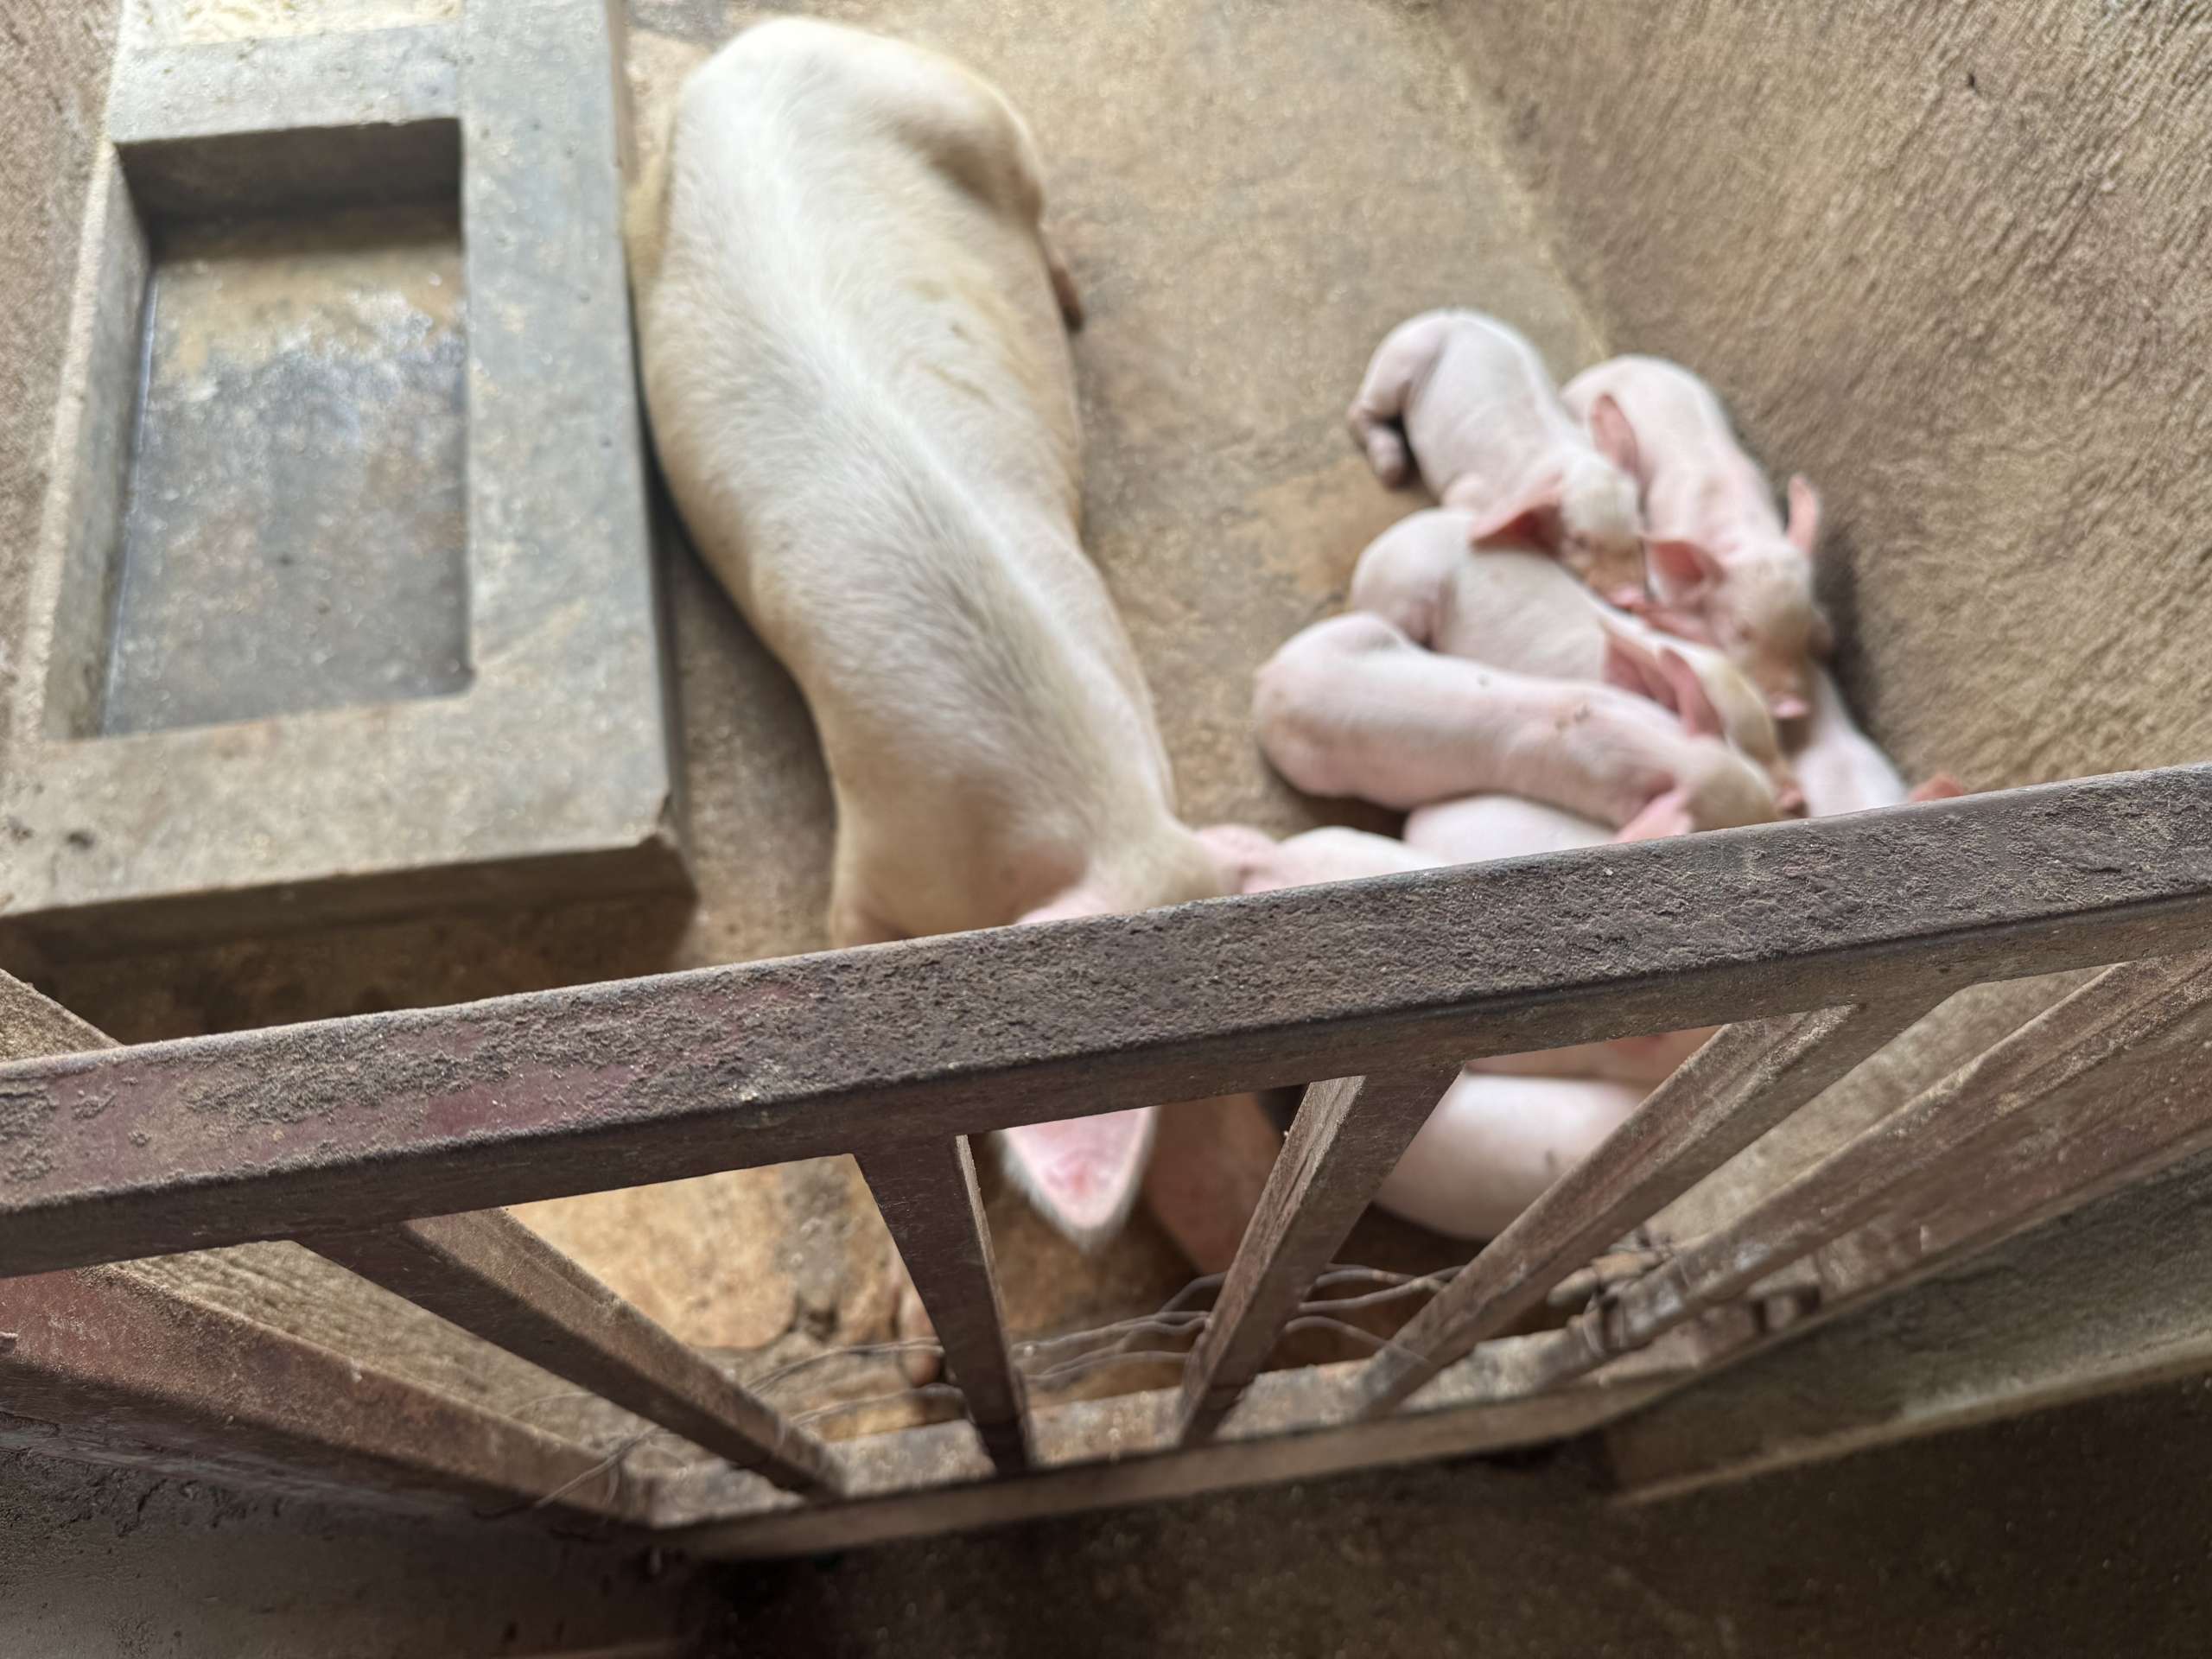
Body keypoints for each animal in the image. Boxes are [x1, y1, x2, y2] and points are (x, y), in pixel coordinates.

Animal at [630, 20, 1249, 1290]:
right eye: (1168, 1092)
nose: (1242, 1218)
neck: (1096, 825)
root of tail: (760, 40)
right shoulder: (867, 851)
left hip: (976, 115)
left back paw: (1069, 305)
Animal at [1253, 612, 1782, 838]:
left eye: (1762, 783)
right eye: (1727, 826)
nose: (1783, 813)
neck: (1660, 749)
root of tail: (1271, 677)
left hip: (1356, 627)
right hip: (1310, 767)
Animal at [1348, 311, 1647, 599]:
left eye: (1637, 532)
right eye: (1579, 541)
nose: (1630, 594)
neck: (1563, 464)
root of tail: (1451, 315)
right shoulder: (1469, 492)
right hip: (1397, 362)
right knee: (1360, 411)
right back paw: (1391, 471)